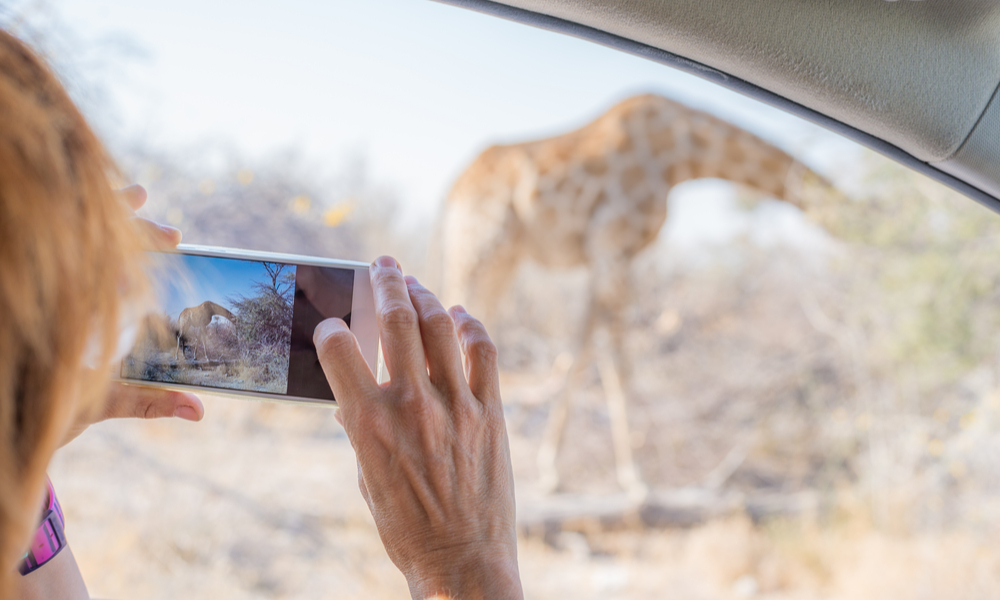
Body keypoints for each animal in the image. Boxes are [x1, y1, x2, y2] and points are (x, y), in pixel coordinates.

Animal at [442, 94, 832, 496]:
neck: (685, 153)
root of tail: (455, 188)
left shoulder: (605, 258)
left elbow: (581, 352)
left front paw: (552, 471)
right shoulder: (613, 246)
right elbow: (618, 364)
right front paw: (636, 477)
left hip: (505, 259)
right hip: (479, 245)